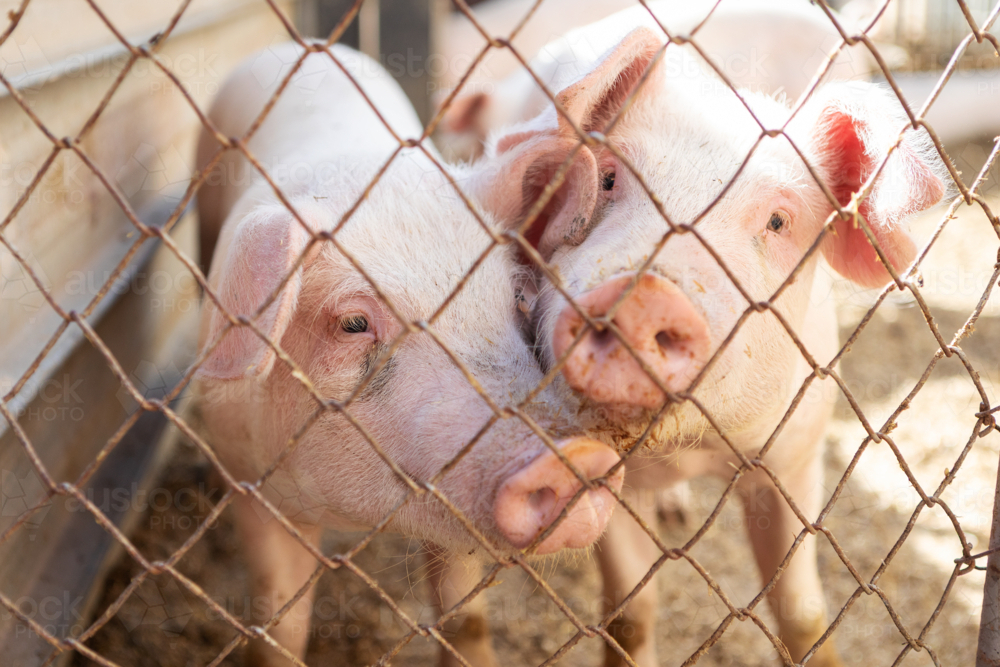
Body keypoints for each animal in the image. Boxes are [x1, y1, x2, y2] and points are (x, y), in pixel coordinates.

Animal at [193, 41, 624, 667]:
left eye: (516, 299)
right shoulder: (248, 476)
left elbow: (463, 616)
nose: (578, 458)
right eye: (353, 323)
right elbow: (280, 625)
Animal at [469, 20, 947, 667]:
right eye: (609, 178)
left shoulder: (796, 450)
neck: (686, 449)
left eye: (778, 220)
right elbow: (631, 613)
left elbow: (802, 613)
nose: (643, 295)